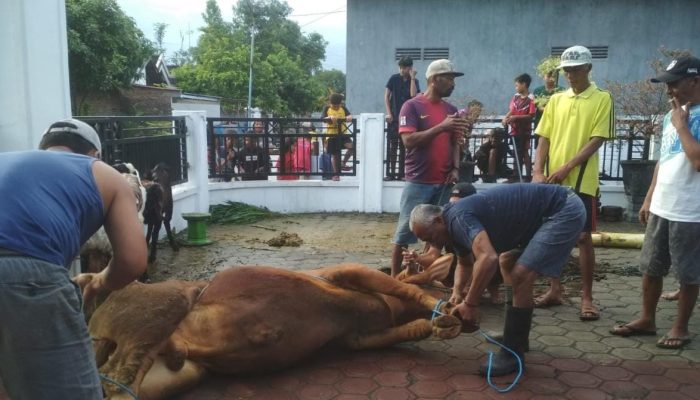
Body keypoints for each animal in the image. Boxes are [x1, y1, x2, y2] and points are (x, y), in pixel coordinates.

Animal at [76, 258, 462, 398]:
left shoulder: (354, 338)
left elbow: (405, 330)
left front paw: (440, 326)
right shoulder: (345, 271)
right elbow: (403, 287)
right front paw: (449, 313)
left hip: (181, 372)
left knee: (121, 383)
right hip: (157, 312)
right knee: (118, 377)